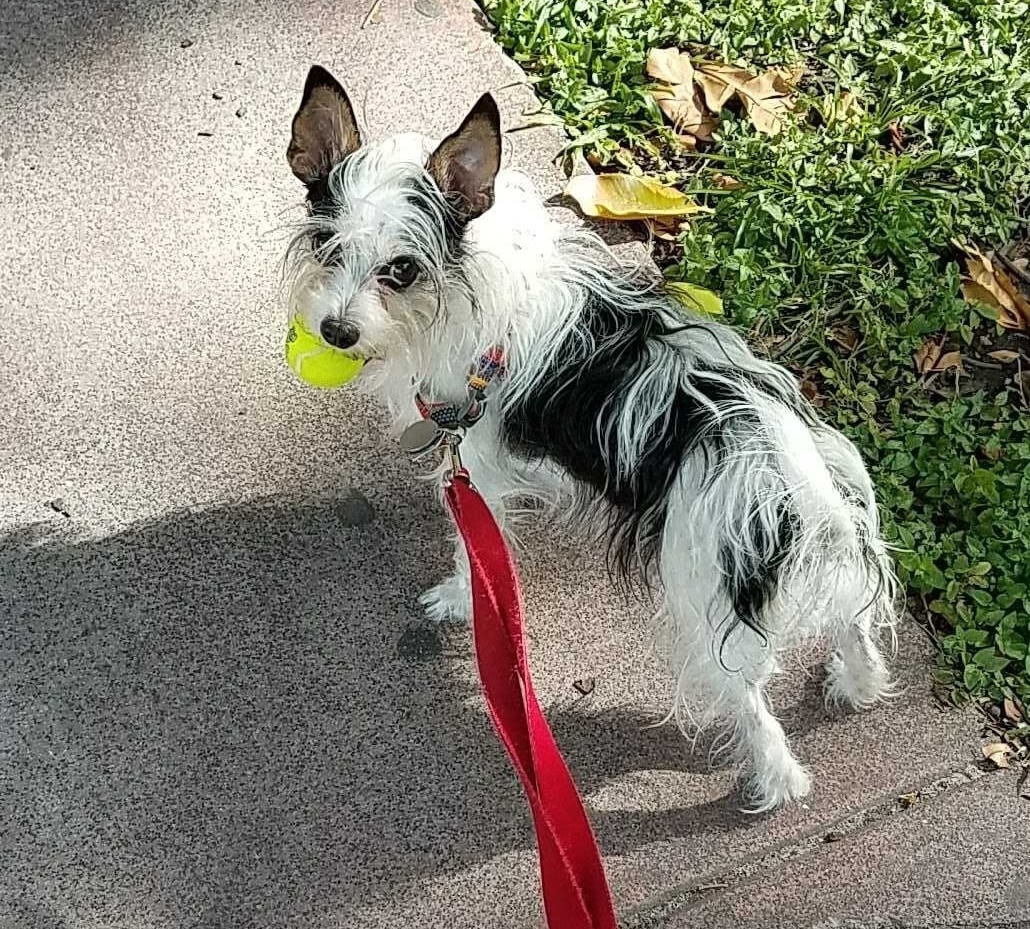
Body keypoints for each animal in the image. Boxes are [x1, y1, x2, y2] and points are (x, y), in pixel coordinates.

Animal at [284, 65, 902, 811]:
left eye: (401, 270)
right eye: (328, 247)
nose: (336, 332)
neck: (463, 282)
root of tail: (781, 457)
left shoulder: (477, 463)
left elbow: (472, 547)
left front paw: (458, 600)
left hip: (704, 592)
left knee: (752, 700)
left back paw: (776, 780)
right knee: (851, 616)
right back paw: (859, 681)